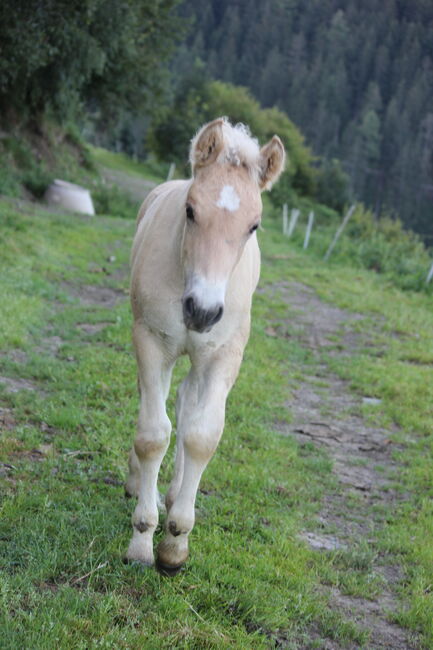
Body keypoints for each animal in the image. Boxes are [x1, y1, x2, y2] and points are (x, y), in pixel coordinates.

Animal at [123, 119, 286, 568]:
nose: (203, 310)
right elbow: (152, 434)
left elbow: (201, 434)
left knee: (184, 402)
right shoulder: (151, 341)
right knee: (156, 402)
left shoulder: (222, 357)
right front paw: (142, 539)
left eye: (254, 225)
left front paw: (175, 542)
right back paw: (138, 483)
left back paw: (173, 493)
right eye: (191, 210)